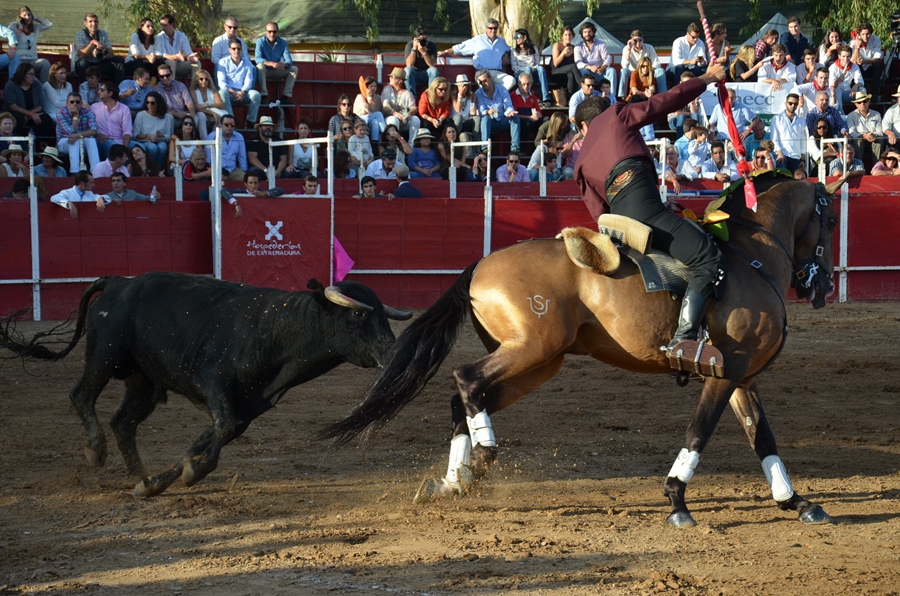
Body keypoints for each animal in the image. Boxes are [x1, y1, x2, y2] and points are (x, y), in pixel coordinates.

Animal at [1, 272, 412, 496]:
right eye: (359, 315)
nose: (393, 351)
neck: (277, 329)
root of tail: (119, 282)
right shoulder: (214, 383)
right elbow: (220, 430)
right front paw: (190, 472)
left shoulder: (249, 406)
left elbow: (209, 437)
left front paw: (166, 478)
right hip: (105, 357)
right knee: (82, 395)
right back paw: (95, 451)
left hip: (143, 381)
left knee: (124, 422)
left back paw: (141, 477)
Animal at [324, 176, 844, 528]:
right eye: (831, 220)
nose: (821, 286)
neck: (748, 259)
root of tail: (481, 265)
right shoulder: (727, 371)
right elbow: (700, 432)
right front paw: (677, 499)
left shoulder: (741, 376)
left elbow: (763, 437)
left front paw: (795, 500)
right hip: (531, 350)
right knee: (467, 380)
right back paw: (483, 456)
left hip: (539, 363)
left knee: (465, 399)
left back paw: (456, 480)